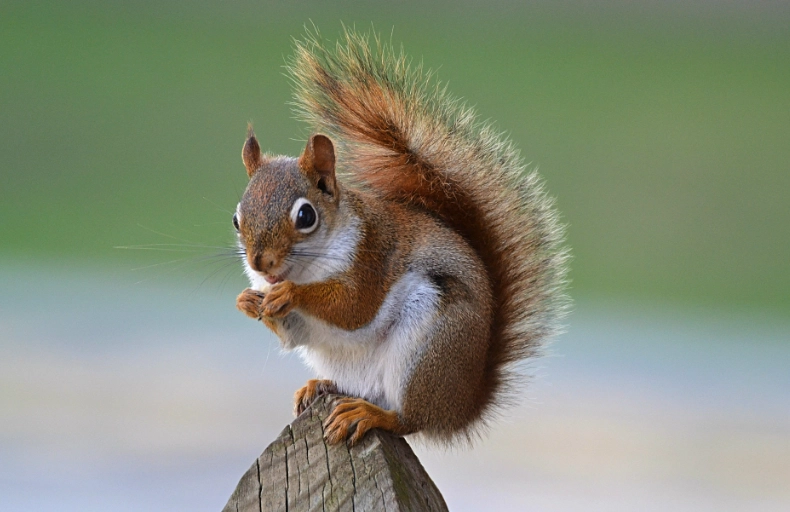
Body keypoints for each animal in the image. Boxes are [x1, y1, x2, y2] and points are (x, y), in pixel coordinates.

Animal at [234, 30, 569, 446]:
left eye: (305, 216)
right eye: (236, 219)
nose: (259, 262)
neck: (307, 267)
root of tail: (462, 407)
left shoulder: (372, 255)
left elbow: (353, 307)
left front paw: (291, 294)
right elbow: (292, 335)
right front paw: (248, 300)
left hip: (429, 348)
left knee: (409, 419)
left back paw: (371, 414)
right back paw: (319, 386)